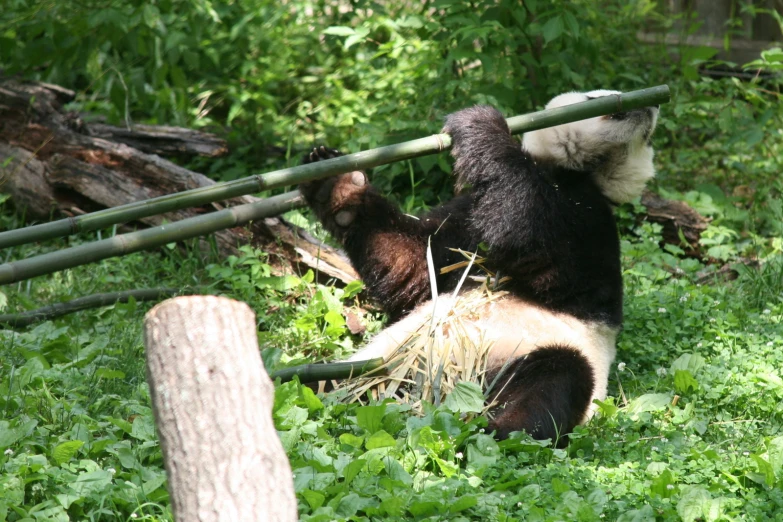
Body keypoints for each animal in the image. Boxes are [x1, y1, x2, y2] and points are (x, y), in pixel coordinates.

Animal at [298, 89, 660, 438]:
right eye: (592, 98)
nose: (650, 107)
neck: (575, 172)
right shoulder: (464, 215)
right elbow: (416, 264)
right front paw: (336, 186)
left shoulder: (591, 225)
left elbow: (531, 234)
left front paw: (480, 122)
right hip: (376, 365)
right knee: (318, 384)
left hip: (530, 354)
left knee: (556, 380)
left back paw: (499, 429)